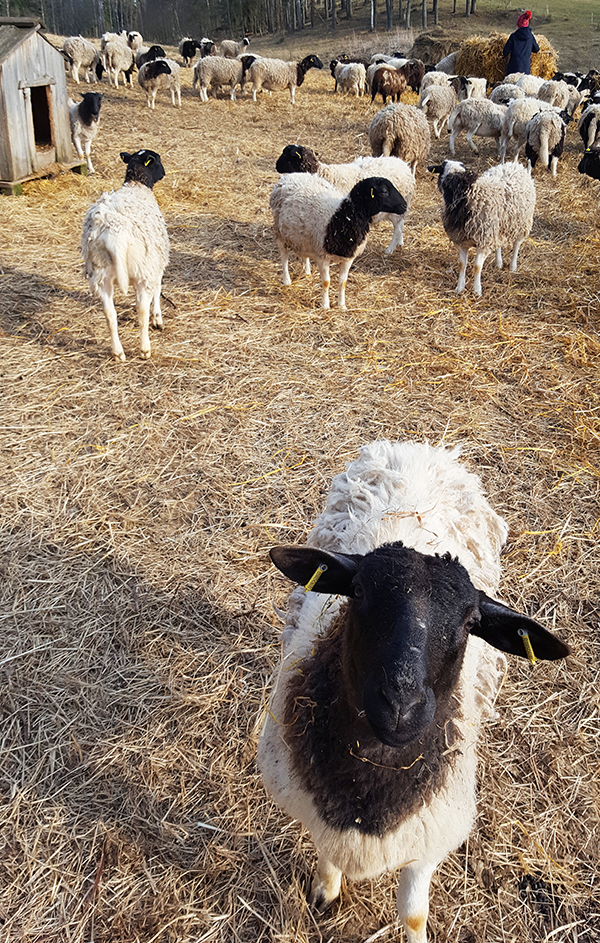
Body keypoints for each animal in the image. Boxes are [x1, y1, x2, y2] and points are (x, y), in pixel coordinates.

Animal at [260, 438, 568, 943]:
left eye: (471, 622)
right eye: (358, 590)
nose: (401, 705)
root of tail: (423, 447)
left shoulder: (429, 838)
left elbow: (413, 914)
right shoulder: (314, 810)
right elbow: (327, 854)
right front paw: (326, 891)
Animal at [272, 173, 408, 310]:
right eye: (384, 191)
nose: (405, 206)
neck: (343, 216)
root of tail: (292, 175)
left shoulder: (348, 258)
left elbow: (343, 282)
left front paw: (342, 306)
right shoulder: (322, 256)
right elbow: (326, 282)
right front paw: (325, 305)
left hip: (303, 238)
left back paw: (307, 272)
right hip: (279, 232)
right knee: (284, 257)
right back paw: (286, 280)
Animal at [274, 143, 414, 253]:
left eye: (286, 155)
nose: (276, 165)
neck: (323, 173)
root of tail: (404, 165)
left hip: (396, 209)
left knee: (397, 229)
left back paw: (389, 249)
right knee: (401, 225)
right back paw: (400, 243)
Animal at [432, 159, 536, 296]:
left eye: (459, 180)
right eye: (442, 170)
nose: (453, 197)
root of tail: (515, 165)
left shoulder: (483, 242)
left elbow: (477, 267)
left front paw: (477, 290)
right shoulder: (461, 241)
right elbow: (462, 265)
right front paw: (460, 287)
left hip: (521, 224)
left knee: (517, 245)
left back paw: (513, 266)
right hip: (498, 227)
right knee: (499, 245)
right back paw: (499, 263)